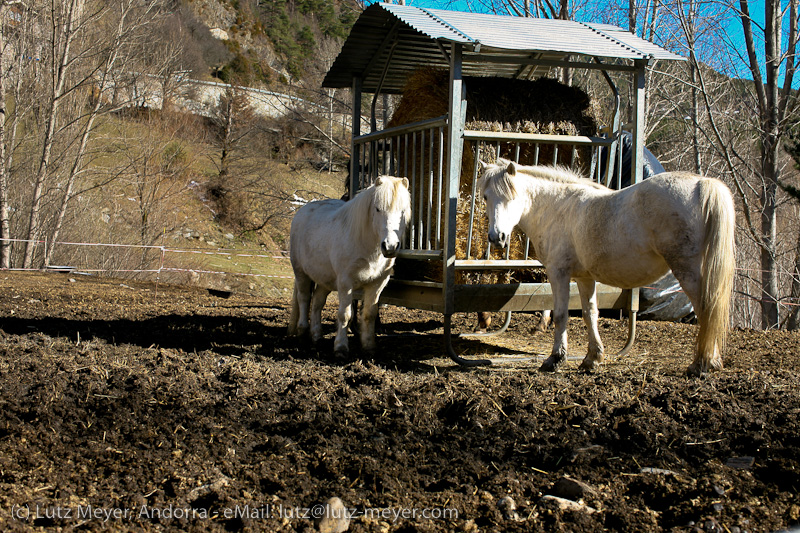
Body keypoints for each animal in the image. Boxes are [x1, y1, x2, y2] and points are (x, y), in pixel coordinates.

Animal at [290, 177, 412, 356]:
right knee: (304, 299)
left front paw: (369, 346)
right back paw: (302, 334)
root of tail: (303, 210)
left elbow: (369, 314)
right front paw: (340, 347)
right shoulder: (345, 283)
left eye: (403, 211)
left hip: (325, 279)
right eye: (377, 209)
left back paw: (317, 336)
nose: (390, 246)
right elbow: (345, 315)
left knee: (318, 302)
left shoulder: (378, 283)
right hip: (301, 273)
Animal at [478, 160, 736, 376]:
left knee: (707, 309)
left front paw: (555, 359)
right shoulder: (584, 278)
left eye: (512, 196)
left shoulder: (558, 273)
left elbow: (561, 315)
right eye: (486, 197)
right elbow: (590, 313)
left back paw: (701, 364)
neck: (558, 208)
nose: (497, 237)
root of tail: (702, 184)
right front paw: (592, 358)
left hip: (687, 270)